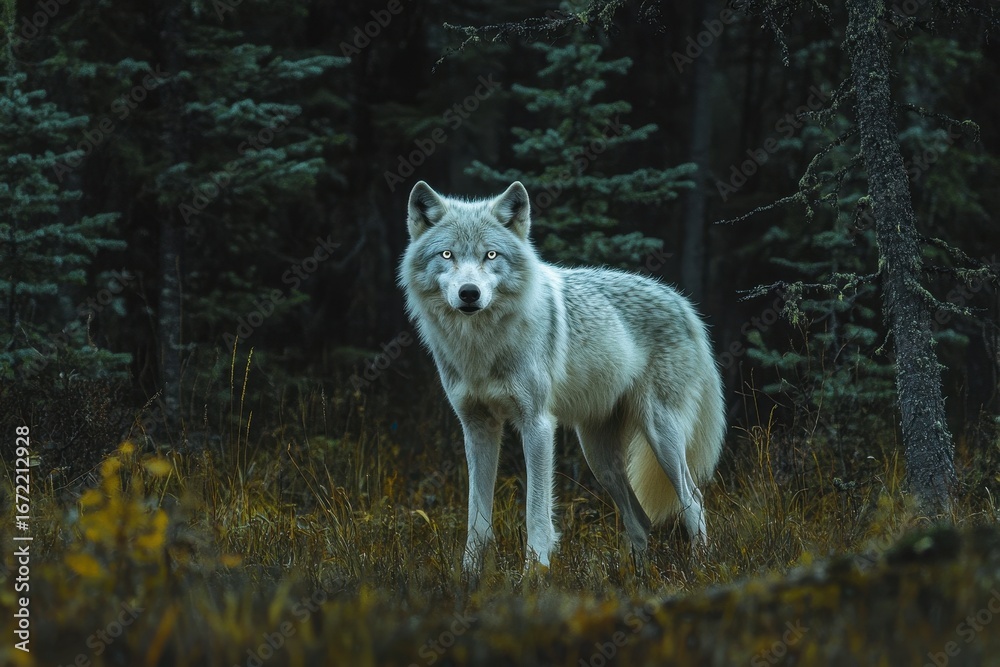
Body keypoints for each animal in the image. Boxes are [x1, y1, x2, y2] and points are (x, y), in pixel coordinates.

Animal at [399, 180, 725, 573]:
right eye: (447, 255)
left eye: (491, 255)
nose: (469, 294)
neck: (481, 346)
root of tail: (681, 301)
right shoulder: (477, 427)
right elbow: (476, 520)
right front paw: (468, 577)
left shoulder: (538, 424)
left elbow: (536, 515)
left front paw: (534, 575)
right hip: (600, 460)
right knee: (641, 521)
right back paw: (636, 578)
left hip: (661, 436)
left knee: (694, 500)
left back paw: (701, 569)